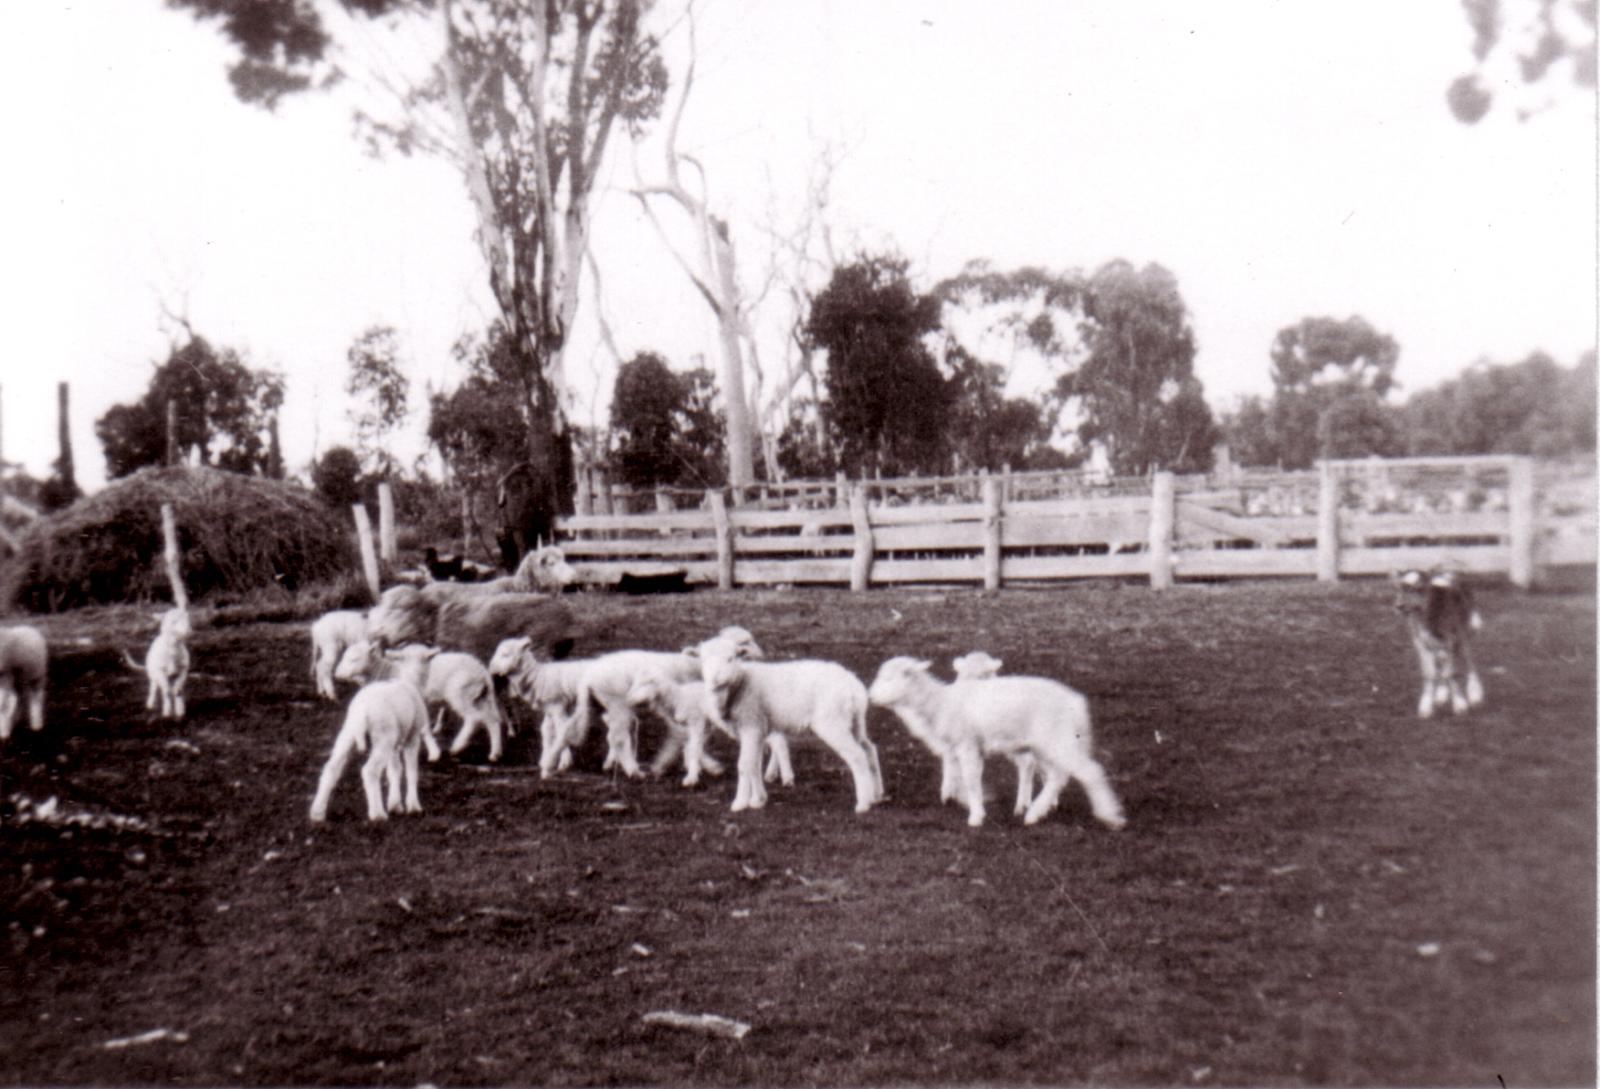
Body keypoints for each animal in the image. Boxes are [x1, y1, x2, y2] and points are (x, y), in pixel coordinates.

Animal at [307, 642, 438, 818]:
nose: (338, 674)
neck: (410, 680)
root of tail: (363, 710)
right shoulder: (412, 737)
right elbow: (411, 771)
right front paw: (413, 806)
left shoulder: (394, 743)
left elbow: (395, 770)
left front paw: (395, 804)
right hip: (382, 737)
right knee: (370, 771)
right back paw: (377, 814)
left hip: (349, 734)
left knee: (331, 768)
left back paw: (318, 812)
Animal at [336, 642, 505, 761]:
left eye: (354, 659)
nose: (337, 674)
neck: (388, 671)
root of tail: (482, 672)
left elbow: (423, 729)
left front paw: (434, 753)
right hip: (481, 697)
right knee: (492, 720)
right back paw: (495, 753)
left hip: (460, 693)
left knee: (473, 718)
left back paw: (457, 746)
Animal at [691, 633, 889, 812]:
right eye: (703, 660)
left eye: (730, 658)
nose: (715, 679)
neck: (740, 683)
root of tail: (853, 685)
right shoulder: (758, 729)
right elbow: (755, 765)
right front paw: (758, 800)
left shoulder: (751, 725)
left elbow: (745, 765)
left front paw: (740, 803)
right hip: (855, 721)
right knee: (869, 749)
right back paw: (877, 795)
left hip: (833, 721)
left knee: (857, 755)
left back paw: (863, 803)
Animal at [864, 658, 1126, 825]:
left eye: (889, 678)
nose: (870, 696)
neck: (940, 703)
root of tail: (1078, 704)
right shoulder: (964, 747)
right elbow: (963, 776)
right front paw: (962, 800)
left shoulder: (967, 743)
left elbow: (971, 779)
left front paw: (975, 816)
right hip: (1049, 744)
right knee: (1057, 776)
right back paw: (1036, 812)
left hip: (1058, 740)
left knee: (1088, 772)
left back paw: (1109, 816)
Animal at [1388, 572, 1484, 716]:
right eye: (1398, 588)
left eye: (1419, 589)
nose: (1399, 606)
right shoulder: (1420, 643)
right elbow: (1429, 672)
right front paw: (1426, 707)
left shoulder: (1450, 639)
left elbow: (1451, 672)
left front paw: (1460, 704)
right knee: (1443, 664)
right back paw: (1441, 694)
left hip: (1463, 634)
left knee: (1469, 662)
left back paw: (1475, 694)